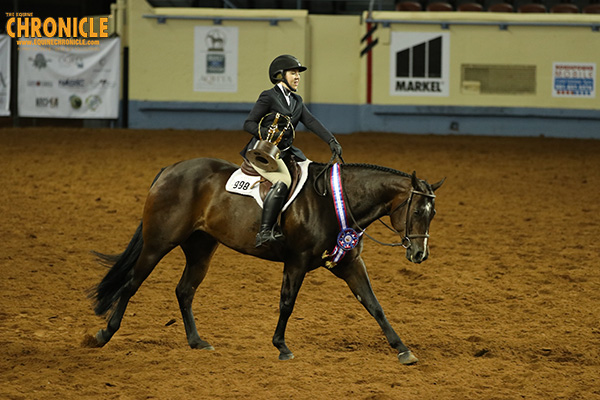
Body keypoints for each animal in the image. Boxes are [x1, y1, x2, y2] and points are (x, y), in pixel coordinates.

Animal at [90, 158, 446, 364]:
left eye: (433, 213)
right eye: (417, 210)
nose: (419, 254)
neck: (335, 201)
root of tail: (169, 170)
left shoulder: (348, 264)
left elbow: (373, 305)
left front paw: (402, 349)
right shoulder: (297, 261)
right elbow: (287, 303)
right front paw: (281, 347)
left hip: (201, 247)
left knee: (184, 290)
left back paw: (197, 341)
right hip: (158, 243)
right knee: (131, 284)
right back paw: (104, 334)